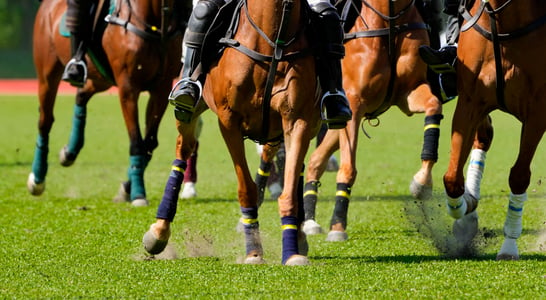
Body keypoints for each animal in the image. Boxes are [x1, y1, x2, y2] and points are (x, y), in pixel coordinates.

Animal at [27, 0, 187, 206]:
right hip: (47, 75)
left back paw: (69, 152)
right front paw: (138, 194)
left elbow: (149, 143)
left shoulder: (161, 87)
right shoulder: (128, 88)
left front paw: (126, 189)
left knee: (81, 95)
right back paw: (37, 179)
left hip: (100, 78)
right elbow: (136, 142)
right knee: (45, 121)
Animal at [142, 0, 320, 264]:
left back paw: (299, 238)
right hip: (190, 109)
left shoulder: (298, 120)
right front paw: (254, 251)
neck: (273, 41)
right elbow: (246, 188)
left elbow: (288, 191)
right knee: (182, 150)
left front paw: (291, 253)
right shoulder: (229, 122)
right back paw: (158, 231)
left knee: (295, 169)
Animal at [298, 0, 442, 240]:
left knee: (316, 160)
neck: (390, 21)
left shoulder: (409, 92)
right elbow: (348, 168)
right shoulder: (355, 103)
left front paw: (422, 182)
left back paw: (309, 220)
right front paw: (338, 226)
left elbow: (434, 106)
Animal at [442, 0, 544, 258]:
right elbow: (452, 178)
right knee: (484, 137)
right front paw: (466, 214)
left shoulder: (538, 111)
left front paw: (509, 245)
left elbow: (519, 175)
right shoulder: (469, 103)